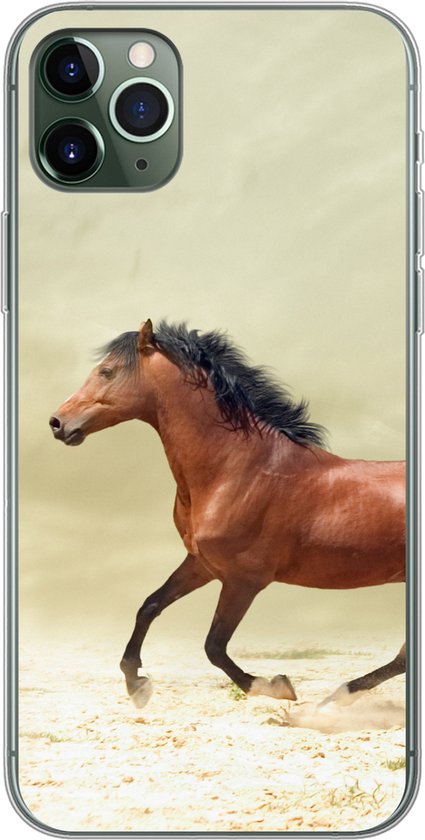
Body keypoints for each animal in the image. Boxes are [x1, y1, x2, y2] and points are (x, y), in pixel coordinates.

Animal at [49, 319, 406, 709]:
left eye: (107, 371)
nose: (57, 423)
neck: (238, 470)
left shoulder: (243, 580)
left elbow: (214, 647)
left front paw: (274, 685)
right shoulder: (202, 563)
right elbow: (150, 605)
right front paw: (136, 683)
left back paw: (336, 697)